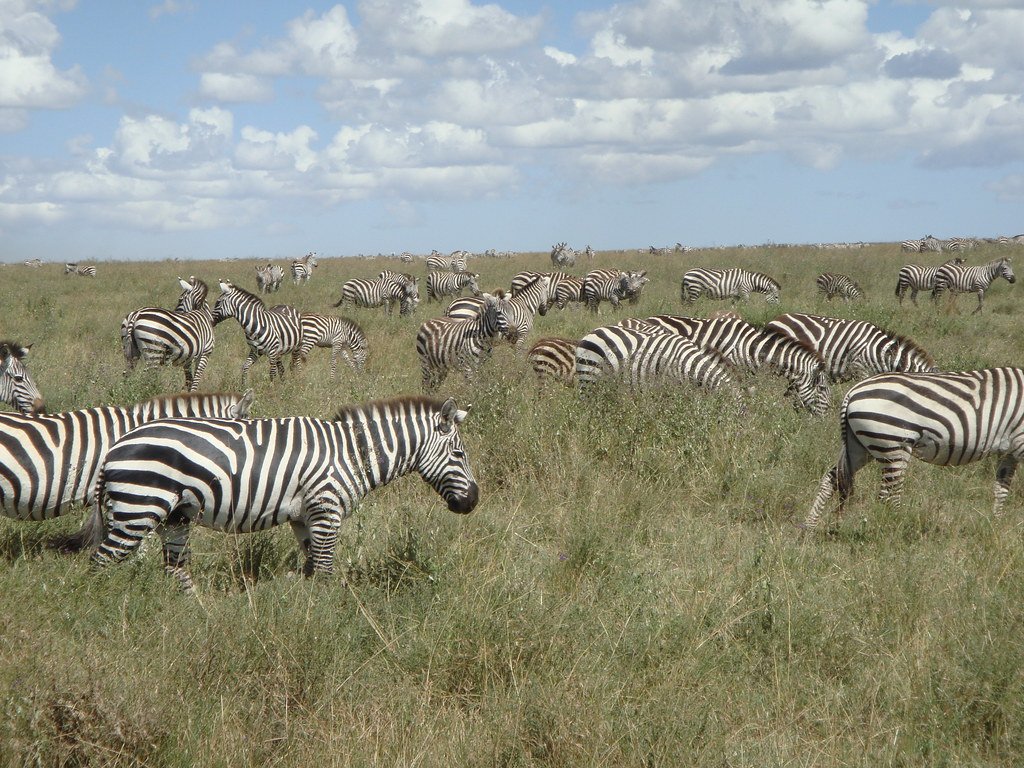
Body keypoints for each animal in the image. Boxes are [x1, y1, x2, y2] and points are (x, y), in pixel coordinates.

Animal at [86, 396, 478, 591]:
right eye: (459, 454)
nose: (473, 501)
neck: (354, 454)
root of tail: (115, 448)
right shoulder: (326, 510)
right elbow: (325, 571)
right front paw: (327, 624)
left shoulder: (305, 518)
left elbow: (312, 568)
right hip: (137, 508)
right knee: (98, 563)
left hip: (175, 516)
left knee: (175, 570)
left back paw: (199, 617)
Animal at [799, 368, 1024, 532]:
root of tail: (851, 392)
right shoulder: (1020, 444)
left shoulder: (1009, 453)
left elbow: (1001, 489)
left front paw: (996, 524)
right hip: (893, 445)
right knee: (889, 495)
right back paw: (898, 531)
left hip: (859, 447)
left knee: (833, 478)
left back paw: (809, 526)